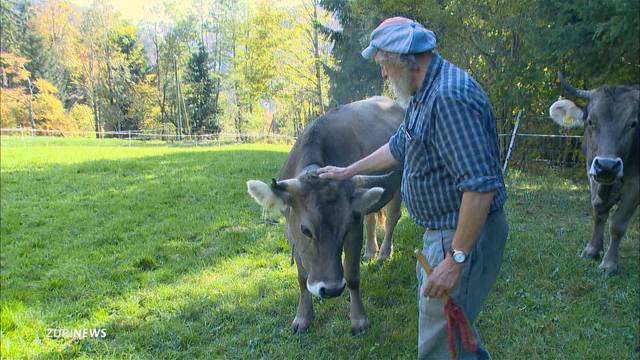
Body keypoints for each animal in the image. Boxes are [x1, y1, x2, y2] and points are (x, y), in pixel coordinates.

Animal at [248, 97, 402, 334]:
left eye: (345, 229)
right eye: (306, 230)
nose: (331, 290)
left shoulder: (354, 228)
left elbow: (352, 276)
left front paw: (359, 320)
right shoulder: (290, 230)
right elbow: (302, 278)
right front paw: (303, 317)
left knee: (392, 218)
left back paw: (383, 254)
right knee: (371, 218)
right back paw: (370, 251)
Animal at [548, 73, 636, 276]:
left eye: (633, 124)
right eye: (590, 121)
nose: (607, 166)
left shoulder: (636, 184)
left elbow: (618, 224)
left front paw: (609, 263)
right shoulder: (591, 172)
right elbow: (598, 211)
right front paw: (592, 250)